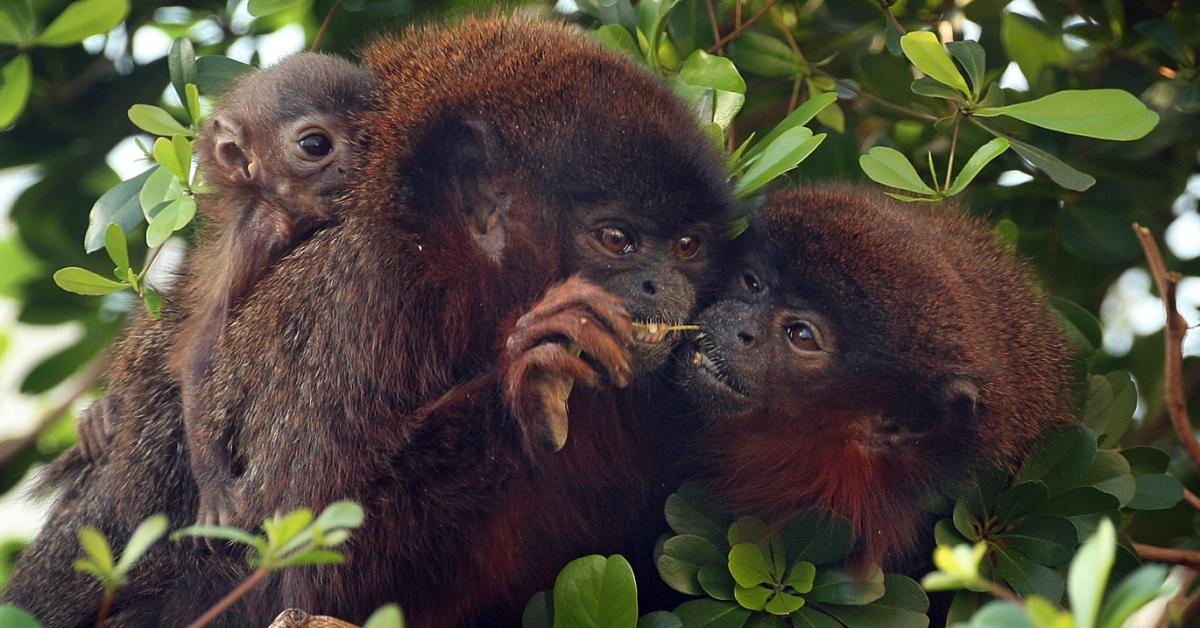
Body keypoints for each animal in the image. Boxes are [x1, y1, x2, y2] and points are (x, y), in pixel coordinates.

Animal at [72, 51, 372, 528]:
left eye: (368, 135)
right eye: (315, 146)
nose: (355, 166)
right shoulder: (255, 235)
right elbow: (201, 350)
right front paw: (212, 481)